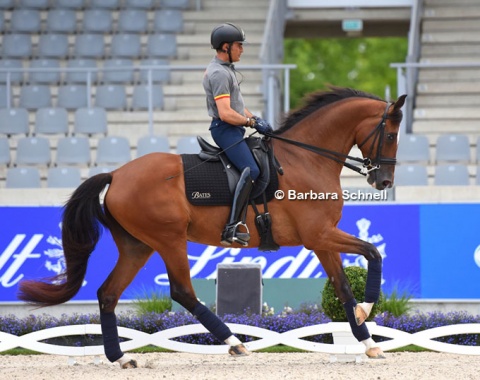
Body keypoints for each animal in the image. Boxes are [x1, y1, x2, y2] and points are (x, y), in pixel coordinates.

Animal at [19, 87, 404, 368]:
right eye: (390, 135)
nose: (384, 181)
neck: (307, 158)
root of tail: (116, 174)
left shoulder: (322, 240)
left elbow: (343, 287)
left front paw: (368, 340)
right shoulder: (319, 235)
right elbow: (374, 253)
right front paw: (367, 311)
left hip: (136, 246)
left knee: (108, 294)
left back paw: (121, 357)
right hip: (169, 239)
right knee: (182, 292)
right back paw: (234, 343)